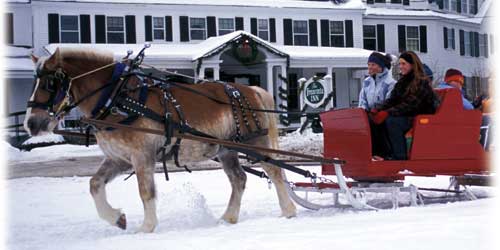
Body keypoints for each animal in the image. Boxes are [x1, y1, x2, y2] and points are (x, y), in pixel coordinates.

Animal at [24, 47, 296, 233]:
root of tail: (251, 90)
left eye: (50, 82)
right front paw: (117, 218)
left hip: (256, 142)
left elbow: (145, 191)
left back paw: (289, 211)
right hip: (227, 149)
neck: (117, 99)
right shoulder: (118, 158)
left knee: (274, 171)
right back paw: (228, 218)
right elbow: (94, 184)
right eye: (34, 81)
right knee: (239, 179)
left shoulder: (141, 155)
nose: (31, 124)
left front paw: (146, 227)